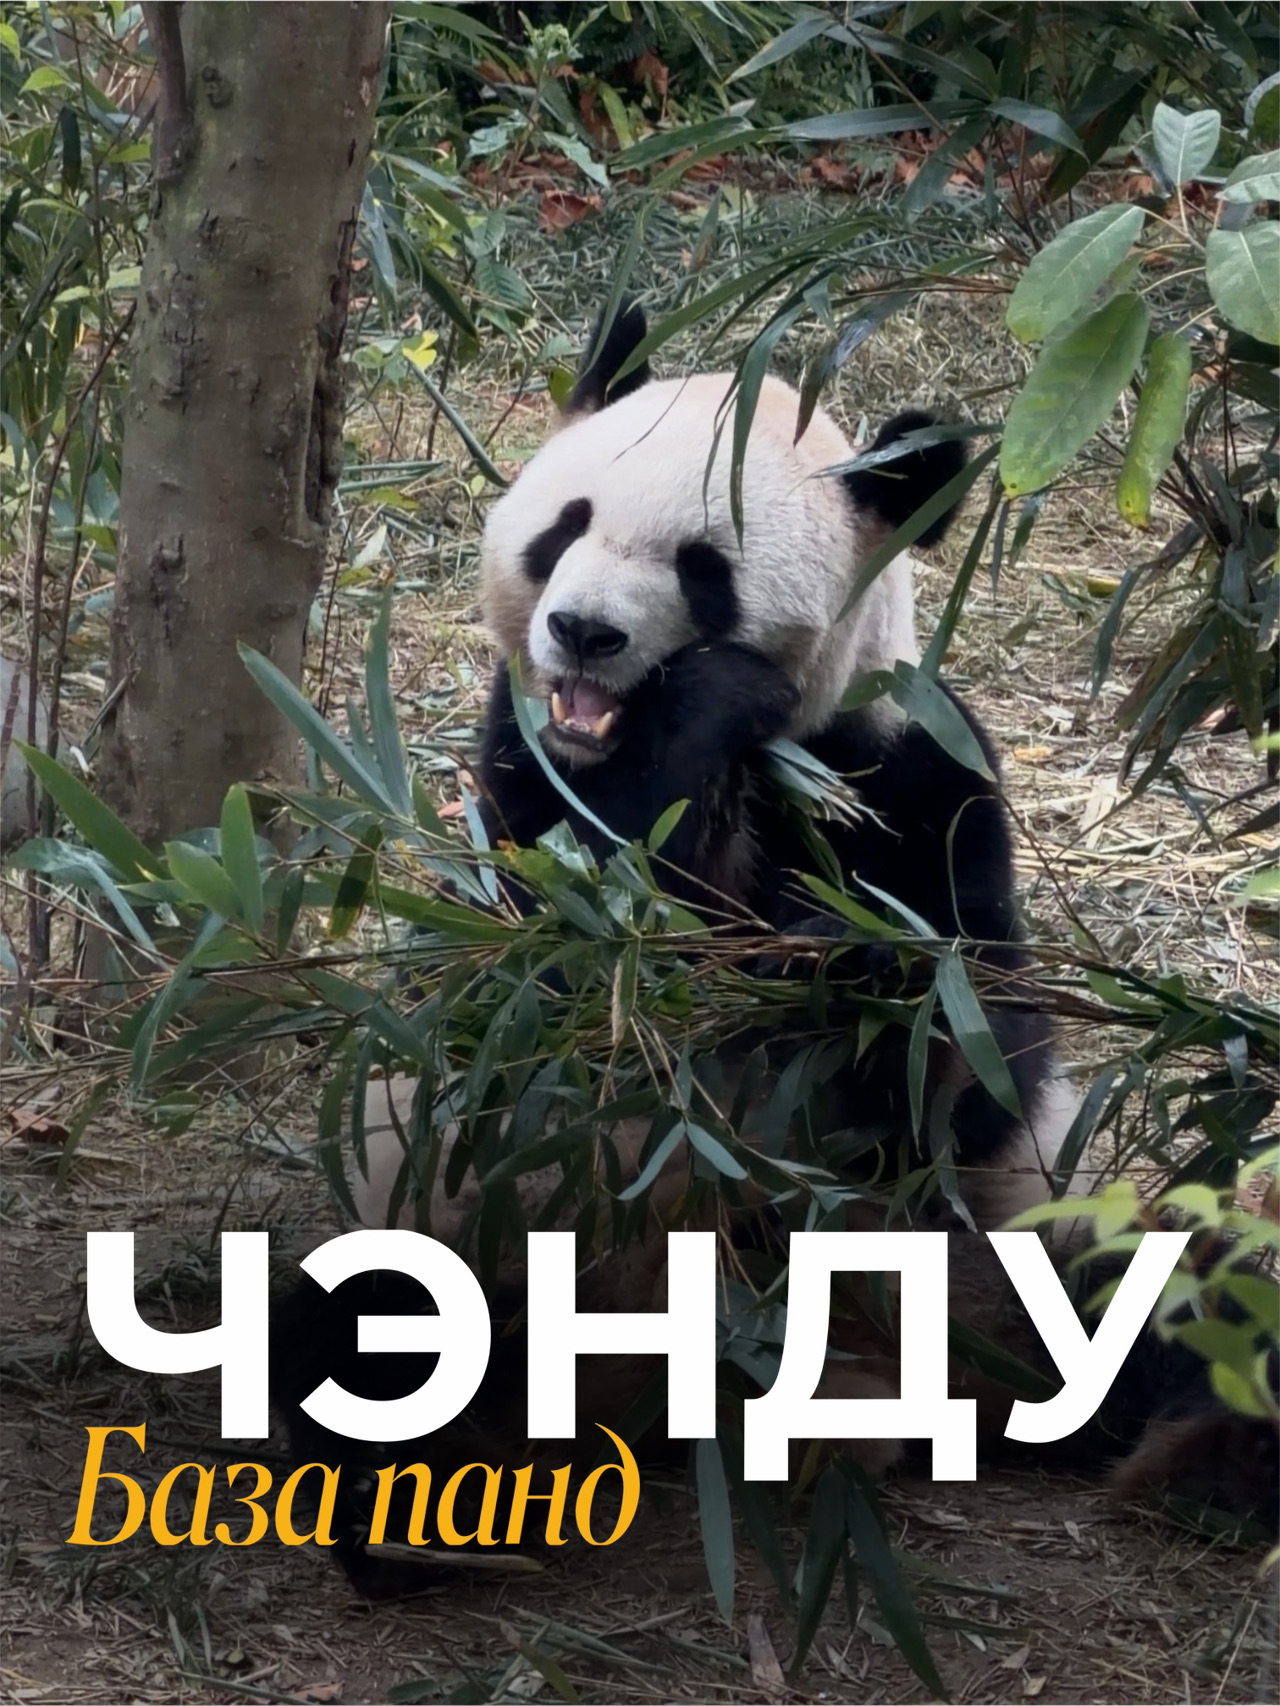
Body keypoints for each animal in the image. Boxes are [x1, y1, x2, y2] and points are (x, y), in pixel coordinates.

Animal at [270, 300, 1277, 1598]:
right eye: (565, 524)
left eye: (702, 566)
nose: (582, 632)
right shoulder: (510, 788)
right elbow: (546, 996)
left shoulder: (910, 772)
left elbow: (966, 1055)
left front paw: (842, 967)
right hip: (476, 1237)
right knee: (367, 1333)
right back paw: (420, 1516)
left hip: (1000, 1250)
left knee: (1173, 1306)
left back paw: (1221, 1460)